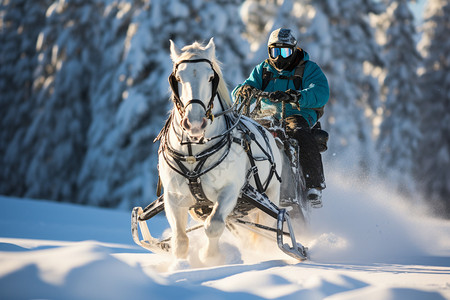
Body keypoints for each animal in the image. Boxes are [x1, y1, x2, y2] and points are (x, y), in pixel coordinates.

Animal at [159, 38, 282, 264]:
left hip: (270, 196)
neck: (194, 154)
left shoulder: (230, 191)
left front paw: (211, 258)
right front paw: (181, 264)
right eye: (178, 78)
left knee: (265, 233)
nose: (195, 123)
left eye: (210, 77)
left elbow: (214, 225)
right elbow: (180, 240)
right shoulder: (173, 197)